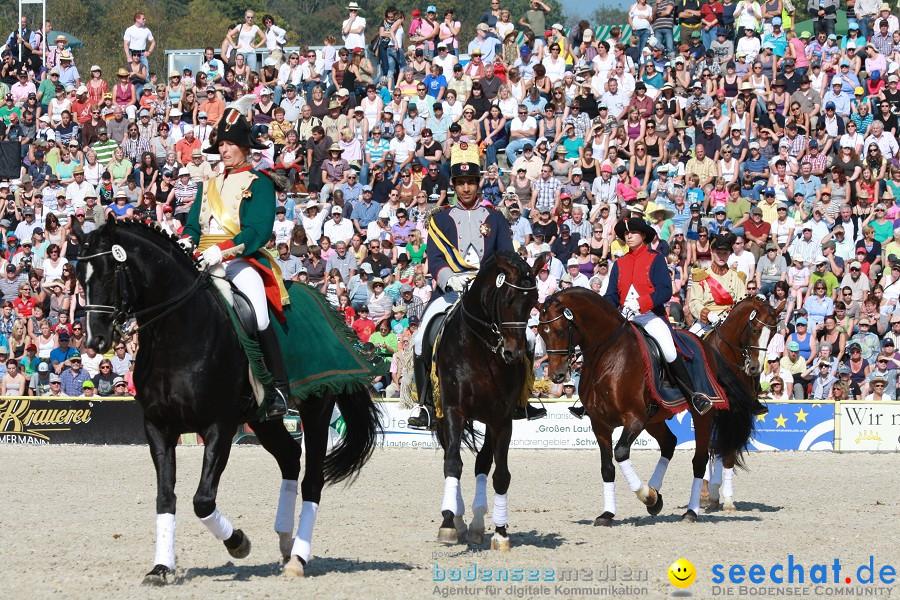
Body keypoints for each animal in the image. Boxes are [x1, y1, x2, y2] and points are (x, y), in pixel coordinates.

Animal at [78, 218, 384, 584]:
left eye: (109, 273)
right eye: (80, 276)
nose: (95, 340)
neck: (178, 335)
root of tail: (322, 303)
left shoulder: (219, 427)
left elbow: (203, 500)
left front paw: (238, 542)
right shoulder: (158, 426)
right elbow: (165, 496)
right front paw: (161, 567)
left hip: (316, 409)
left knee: (312, 480)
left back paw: (298, 558)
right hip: (264, 420)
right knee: (290, 458)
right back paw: (285, 542)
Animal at [430, 251, 548, 552]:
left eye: (533, 301)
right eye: (507, 299)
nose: (513, 353)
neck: (480, 348)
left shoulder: (502, 419)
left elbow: (501, 474)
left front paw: (501, 532)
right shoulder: (454, 411)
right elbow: (453, 464)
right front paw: (448, 524)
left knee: (482, 463)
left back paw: (476, 523)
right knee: (453, 458)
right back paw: (457, 519)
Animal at [536, 288, 756, 524]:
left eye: (560, 331)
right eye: (541, 332)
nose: (557, 376)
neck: (608, 357)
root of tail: (706, 346)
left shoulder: (634, 419)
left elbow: (621, 452)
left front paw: (646, 496)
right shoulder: (600, 425)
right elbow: (607, 468)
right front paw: (609, 514)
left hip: (701, 415)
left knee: (699, 460)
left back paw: (690, 511)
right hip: (655, 419)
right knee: (669, 443)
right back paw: (656, 493)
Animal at [700, 296, 776, 510]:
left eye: (773, 333)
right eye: (755, 330)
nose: (755, 368)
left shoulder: (737, 414)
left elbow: (728, 454)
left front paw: (726, 498)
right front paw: (708, 494)